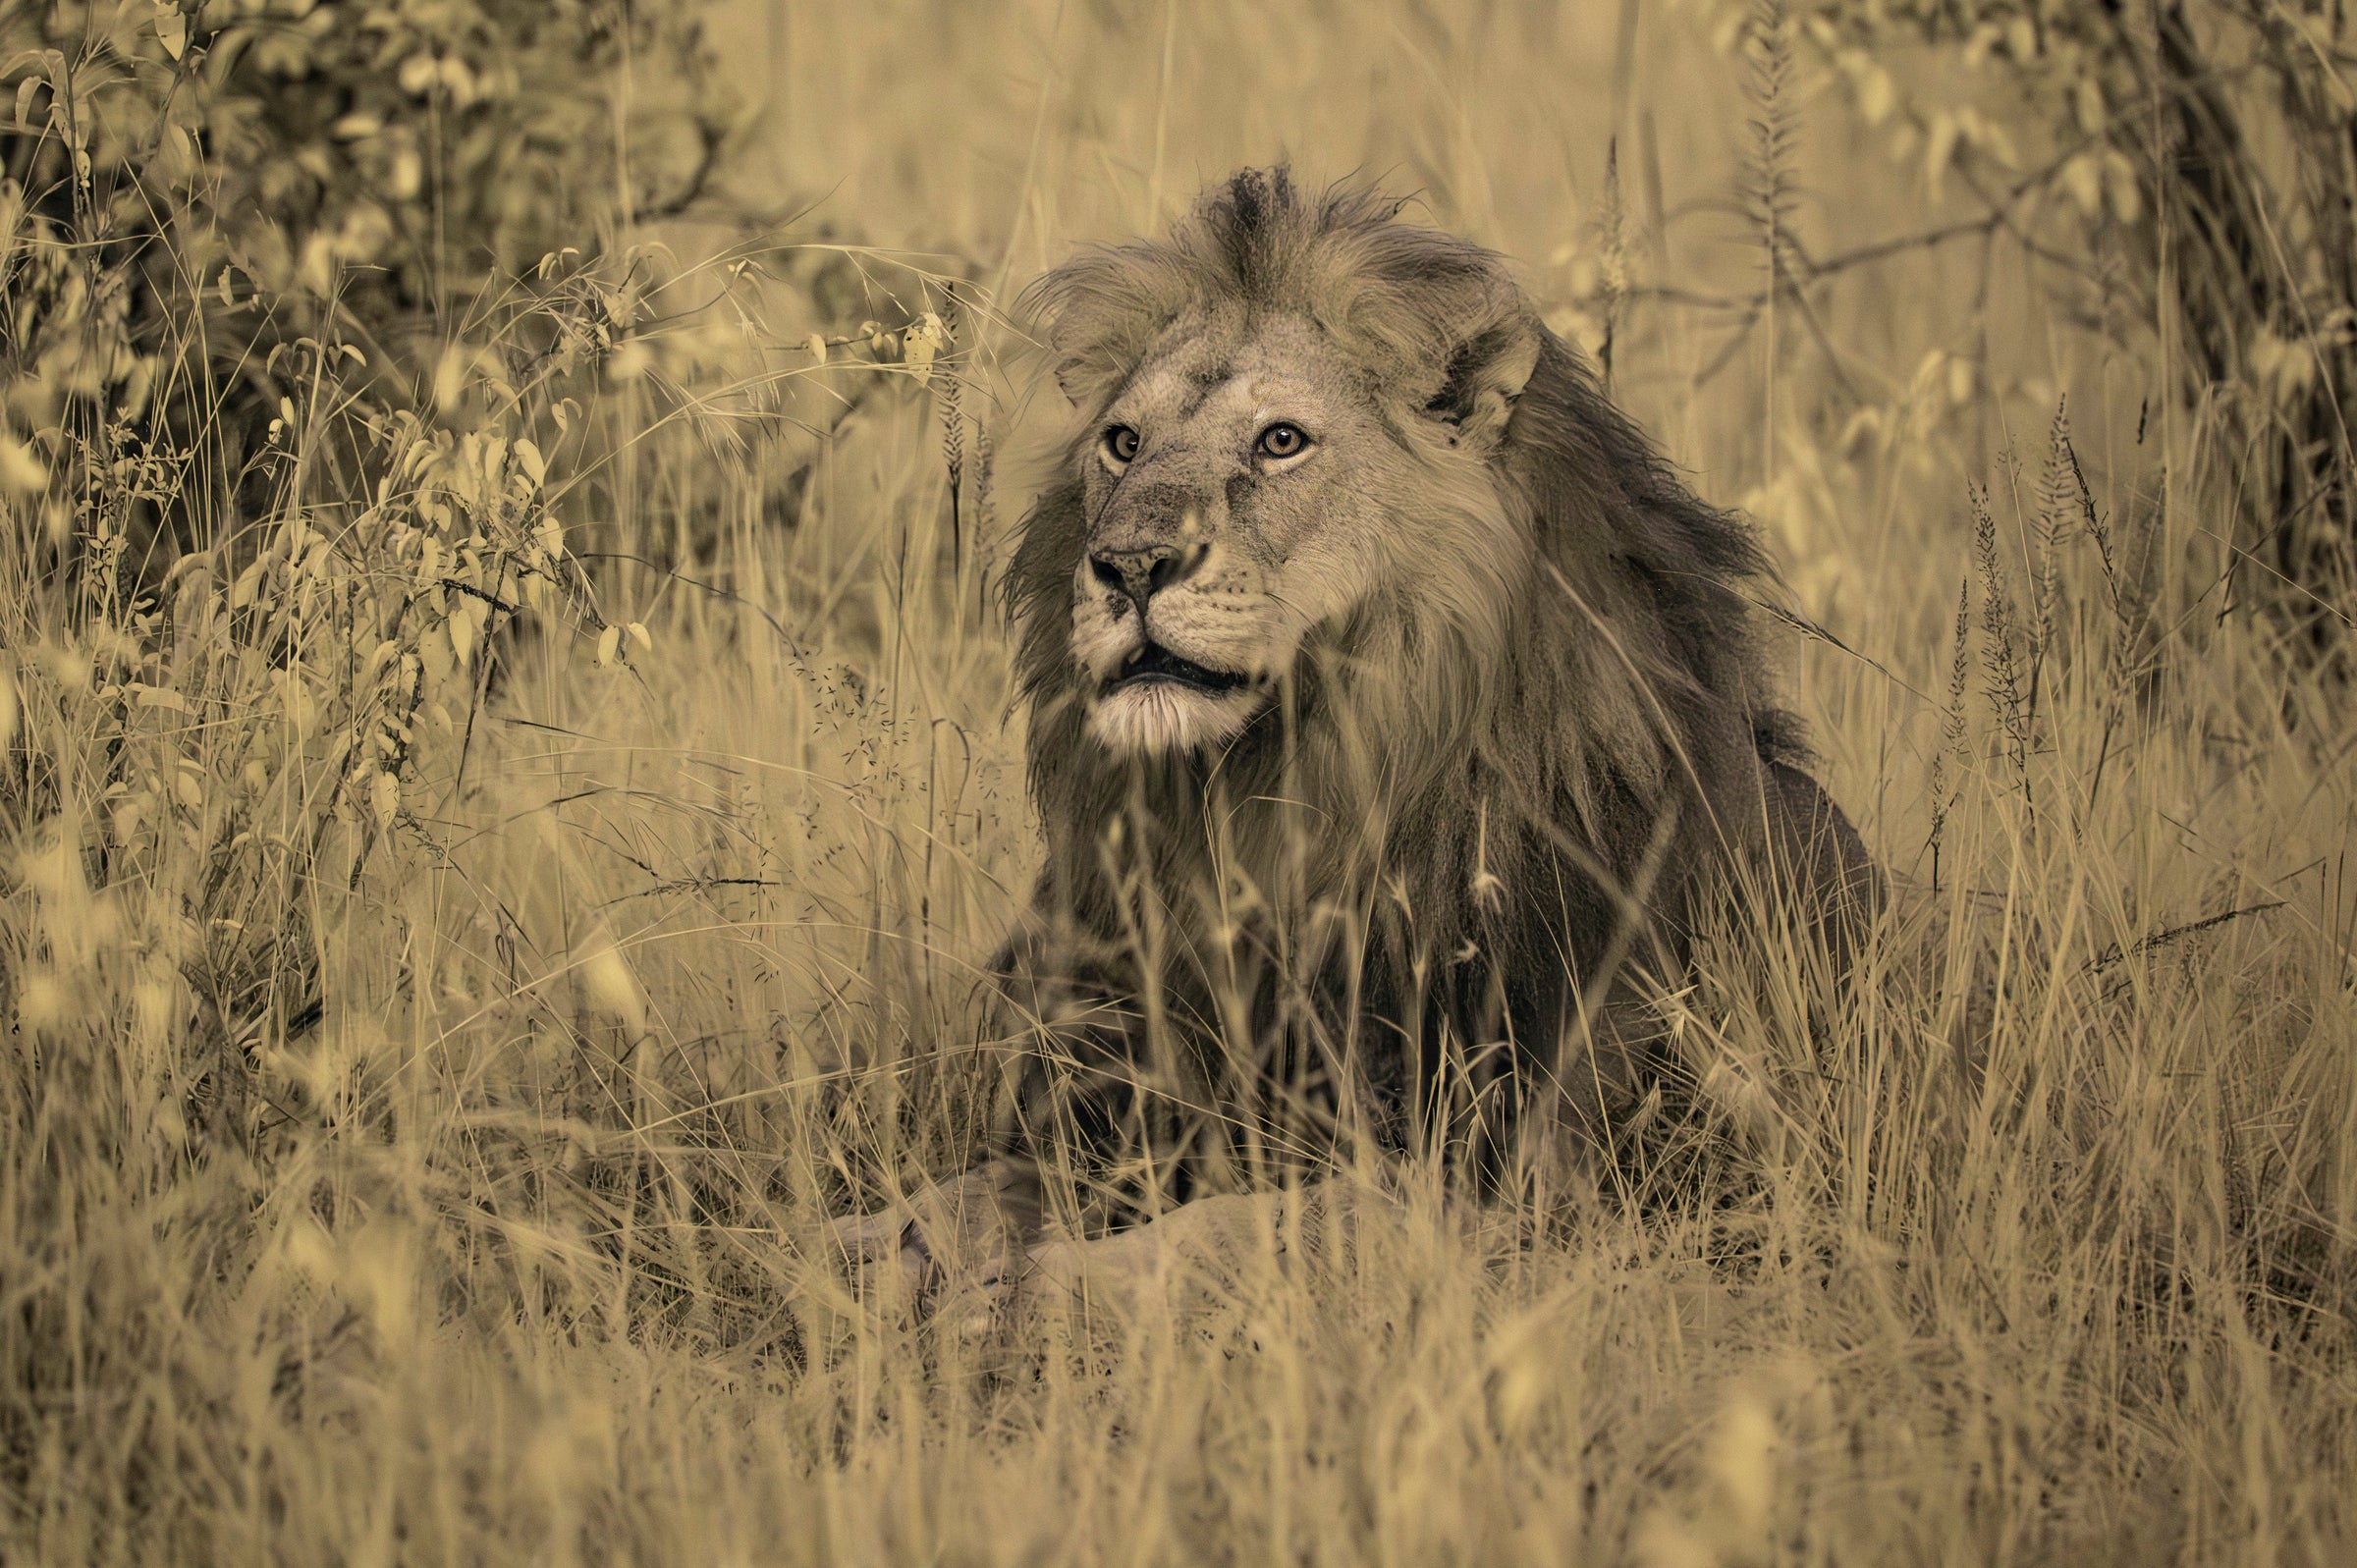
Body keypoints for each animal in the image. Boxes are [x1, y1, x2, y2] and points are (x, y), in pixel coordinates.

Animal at [833, 168, 1876, 1314]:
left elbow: (1240, 1228)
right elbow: (967, 1189)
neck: (1285, 803)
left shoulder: (1520, 1193)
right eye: (1124, 443)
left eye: (1281, 440)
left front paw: (1032, 1290)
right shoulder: (1125, 1107)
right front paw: (853, 1247)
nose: (1130, 565)